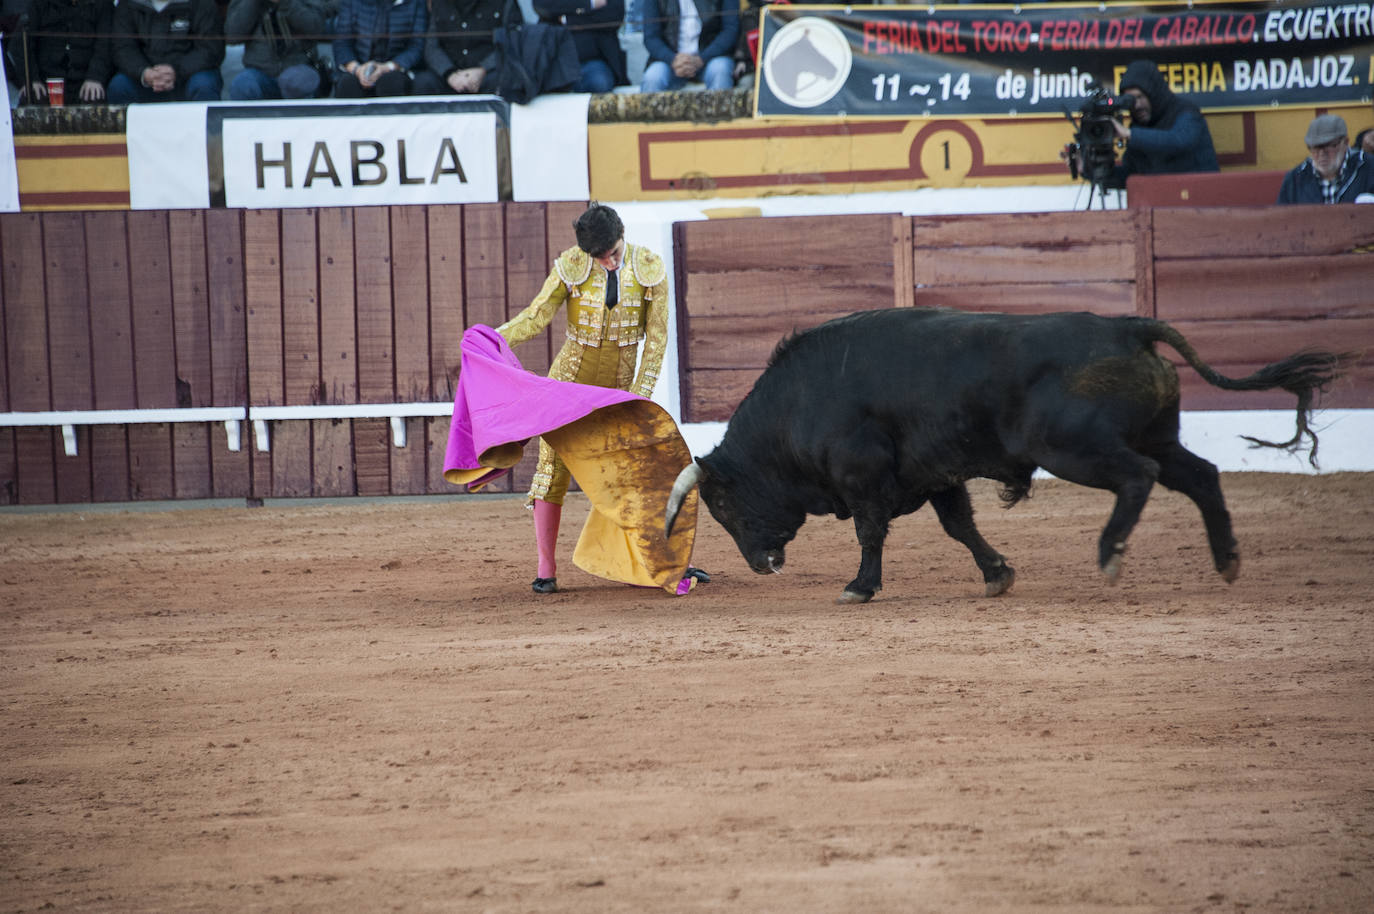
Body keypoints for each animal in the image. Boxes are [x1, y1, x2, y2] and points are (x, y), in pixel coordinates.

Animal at [667, 310, 1352, 602]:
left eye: (723, 504)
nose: (761, 564)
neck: (797, 406)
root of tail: (1127, 327)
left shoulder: (866, 479)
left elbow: (870, 533)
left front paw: (860, 587)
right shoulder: (934, 475)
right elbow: (960, 526)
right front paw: (998, 575)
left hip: (1074, 448)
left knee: (1140, 477)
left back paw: (1110, 554)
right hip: (1155, 433)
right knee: (1200, 474)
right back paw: (1227, 560)